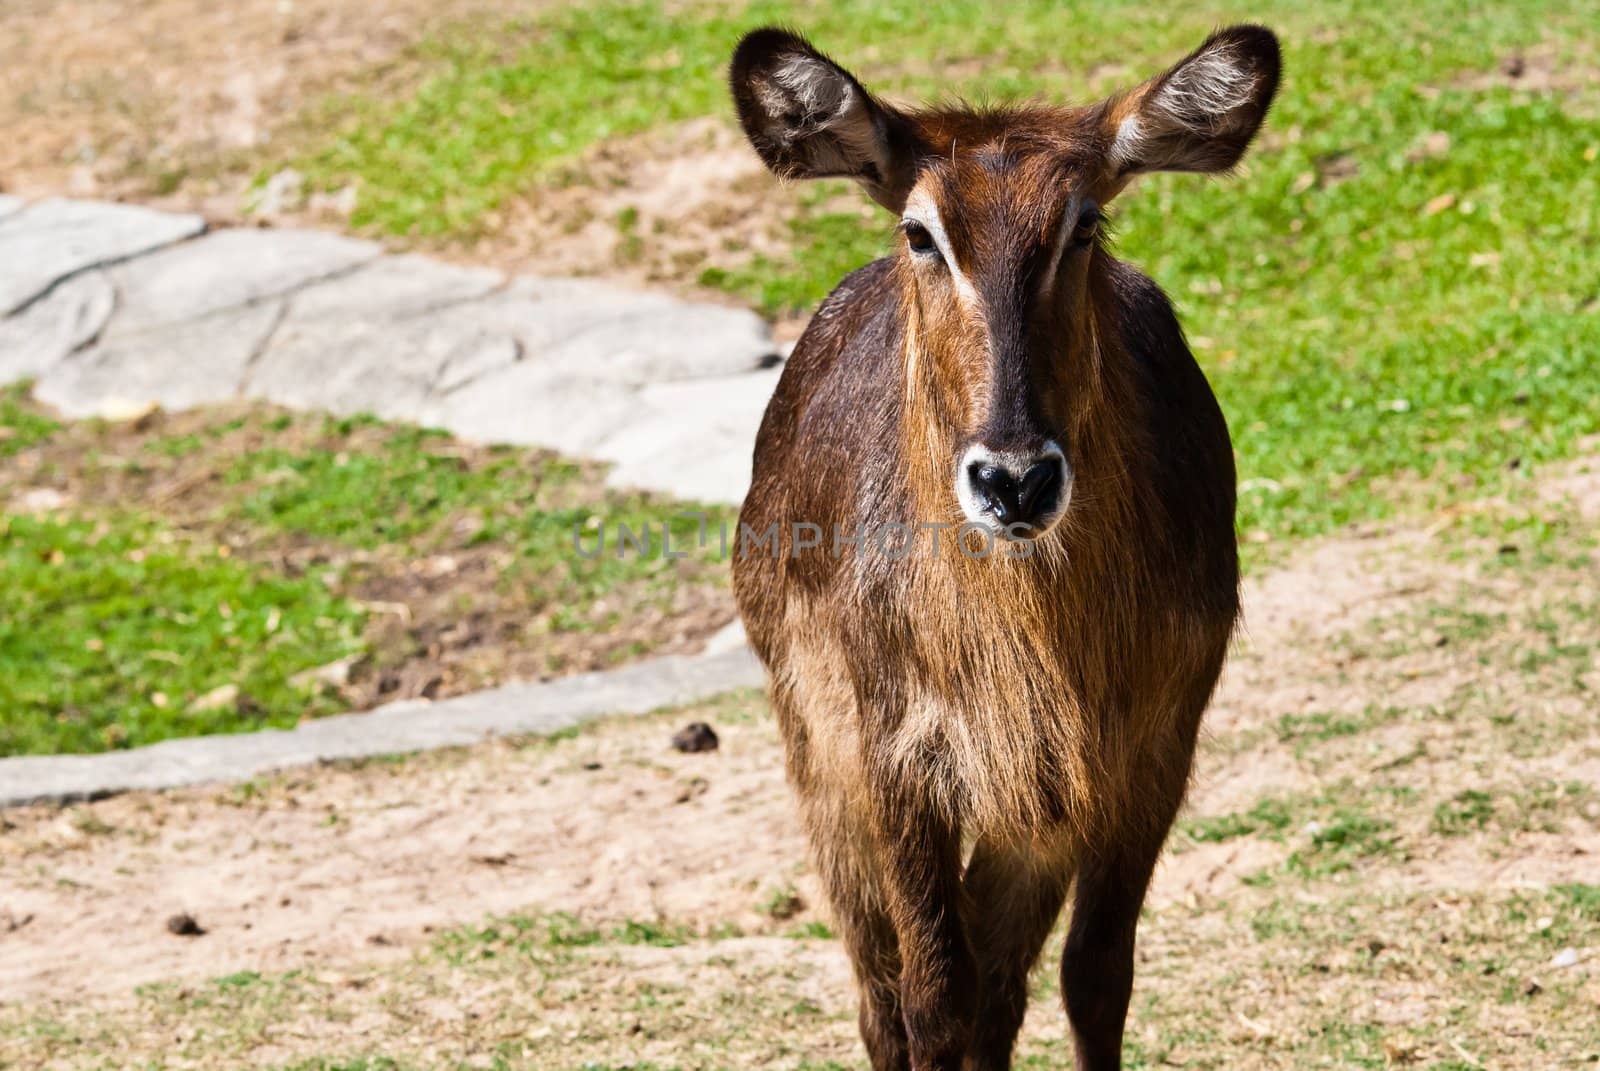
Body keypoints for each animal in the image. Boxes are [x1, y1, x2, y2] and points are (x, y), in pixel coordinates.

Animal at [732, 23, 1280, 1069]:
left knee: (1000, 985)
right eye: (921, 232)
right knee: (885, 993)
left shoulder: (1146, 752)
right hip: (823, 763)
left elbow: (1094, 976)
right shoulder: (893, 756)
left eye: (1085, 226)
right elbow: (930, 999)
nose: (1015, 479)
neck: (1030, 638)